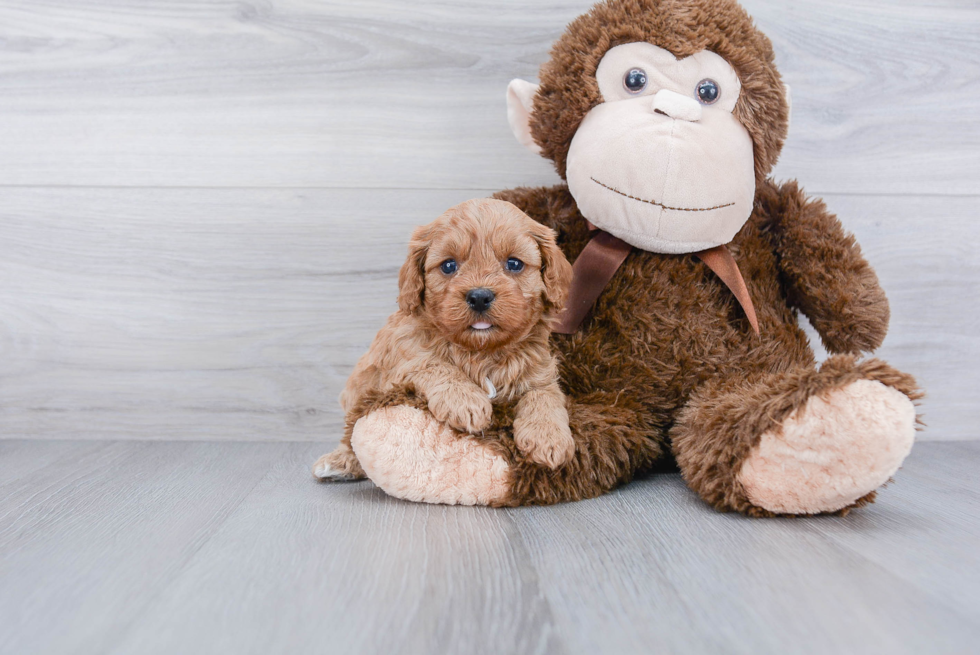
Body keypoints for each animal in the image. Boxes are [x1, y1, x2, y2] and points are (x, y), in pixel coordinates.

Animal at [312, 197, 576, 480]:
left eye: (514, 264)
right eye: (449, 265)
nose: (479, 296)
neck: (482, 351)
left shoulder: (540, 371)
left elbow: (545, 395)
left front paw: (549, 437)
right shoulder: (402, 361)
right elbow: (435, 364)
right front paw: (465, 401)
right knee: (350, 434)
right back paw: (338, 462)